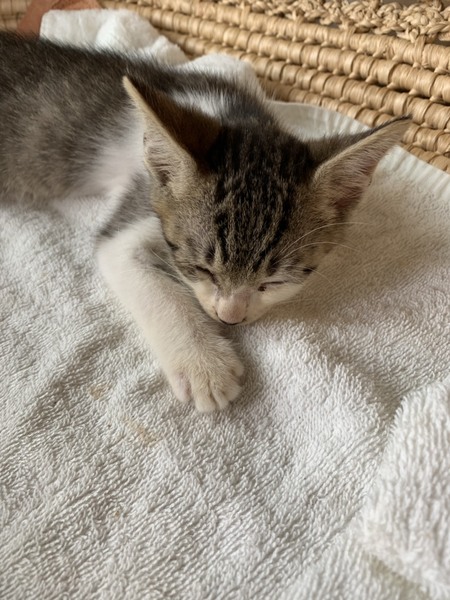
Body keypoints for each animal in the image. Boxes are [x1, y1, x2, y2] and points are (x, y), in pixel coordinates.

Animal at [0, 31, 410, 412]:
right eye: (201, 269)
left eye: (274, 282)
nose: (229, 318)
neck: (231, 114)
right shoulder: (139, 205)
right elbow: (153, 284)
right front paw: (204, 366)